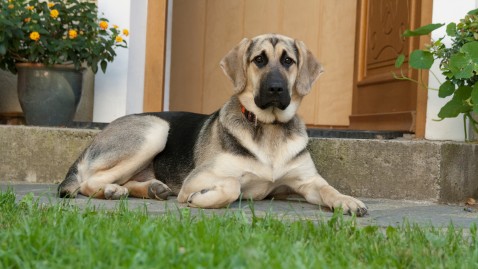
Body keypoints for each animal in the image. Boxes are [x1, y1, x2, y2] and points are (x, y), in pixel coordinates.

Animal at [58, 33, 368, 216]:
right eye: (259, 60)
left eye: (288, 61)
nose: (276, 89)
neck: (269, 128)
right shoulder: (199, 177)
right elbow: (231, 185)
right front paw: (200, 198)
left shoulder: (307, 182)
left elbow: (328, 189)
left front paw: (347, 200)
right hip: (155, 130)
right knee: (88, 181)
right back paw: (112, 191)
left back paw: (151, 189)